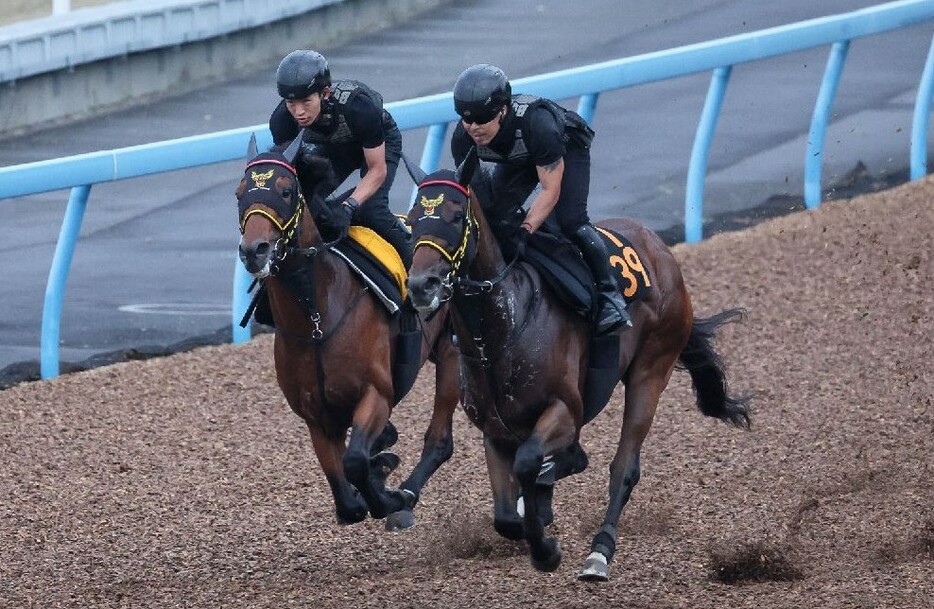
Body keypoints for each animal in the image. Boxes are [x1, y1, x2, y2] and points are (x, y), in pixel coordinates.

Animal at [236, 132, 458, 528]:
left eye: (286, 190)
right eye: (238, 193)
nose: (254, 250)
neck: (316, 321)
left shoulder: (376, 393)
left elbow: (355, 463)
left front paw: (389, 496)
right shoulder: (316, 417)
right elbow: (347, 500)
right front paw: (379, 470)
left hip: (451, 349)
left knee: (440, 439)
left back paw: (406, 494)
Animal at [404, 152, 752, 580]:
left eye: (455, 216)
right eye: (412, 218)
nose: (422, 285)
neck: (501, 331)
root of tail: (660, 248)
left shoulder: (565, 410)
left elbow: (529, 463)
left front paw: (545, 550)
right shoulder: (495, 430)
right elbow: (505, 516)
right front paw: (535, 522)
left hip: (652, 369)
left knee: (624, 467)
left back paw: (599, 552)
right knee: (572, 462)